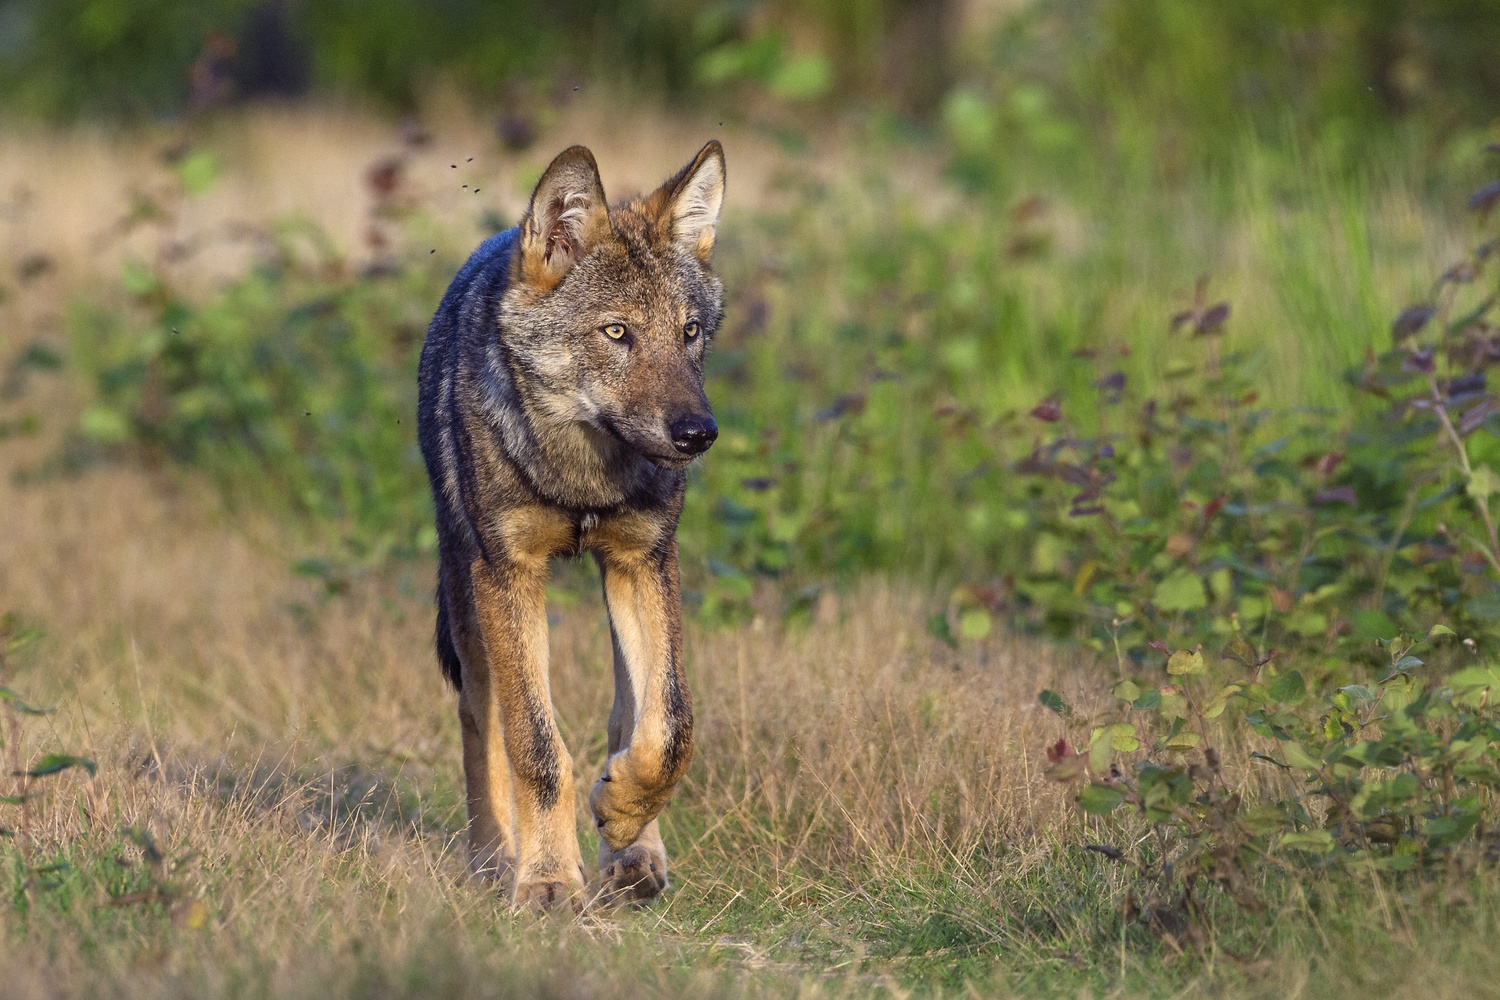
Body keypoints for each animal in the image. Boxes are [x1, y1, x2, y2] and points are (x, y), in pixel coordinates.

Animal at [416, 141, 726, 912]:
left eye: (689, 333)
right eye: (617, 333)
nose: (698, 433)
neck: (582, 477)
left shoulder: (645, 559)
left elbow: (671, 726)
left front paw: (621, 813)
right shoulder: (509, 572)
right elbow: (535, 745)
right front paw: (548, 880)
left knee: (628, 716)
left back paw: (634, 851)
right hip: (466, 596)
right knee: (481, 722)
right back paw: (493, 860)